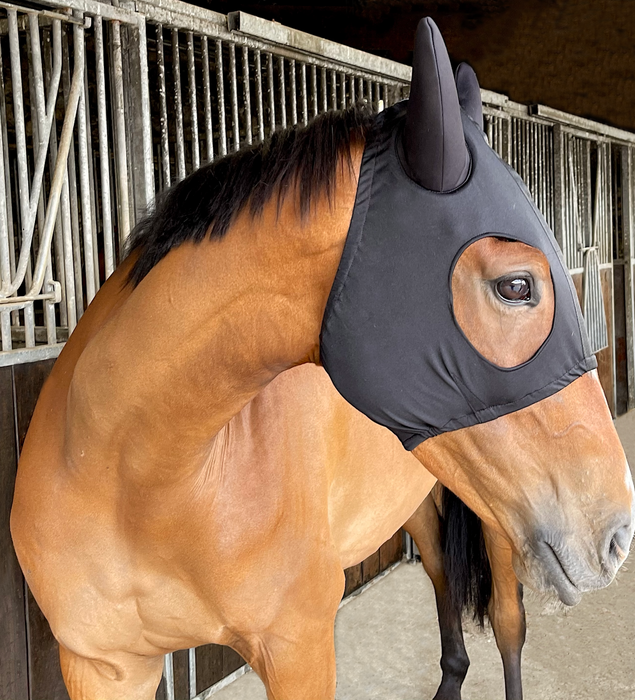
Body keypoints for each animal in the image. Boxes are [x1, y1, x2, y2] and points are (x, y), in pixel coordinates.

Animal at [10, 16, 633, 700]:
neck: (132, 479)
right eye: (516, 285)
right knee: (442, 576)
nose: (619, 535)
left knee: (507, 624)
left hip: (497, 520)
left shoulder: (299, 649)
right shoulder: (101, 665)